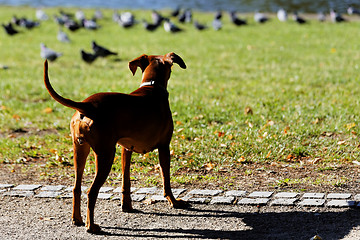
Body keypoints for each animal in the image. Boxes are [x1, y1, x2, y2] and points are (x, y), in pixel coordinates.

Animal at [43, 52, 187, 232]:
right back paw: (91, 226)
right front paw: (174, 202)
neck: (152, 86)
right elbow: (166, 179)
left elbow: (126, 181)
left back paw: (77, 219)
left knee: (76, 188)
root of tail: (87, 105)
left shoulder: (126, 149)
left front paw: (127, 206)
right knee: (91, 191)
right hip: (105, 155)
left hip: (80, 151)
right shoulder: (164, 147)